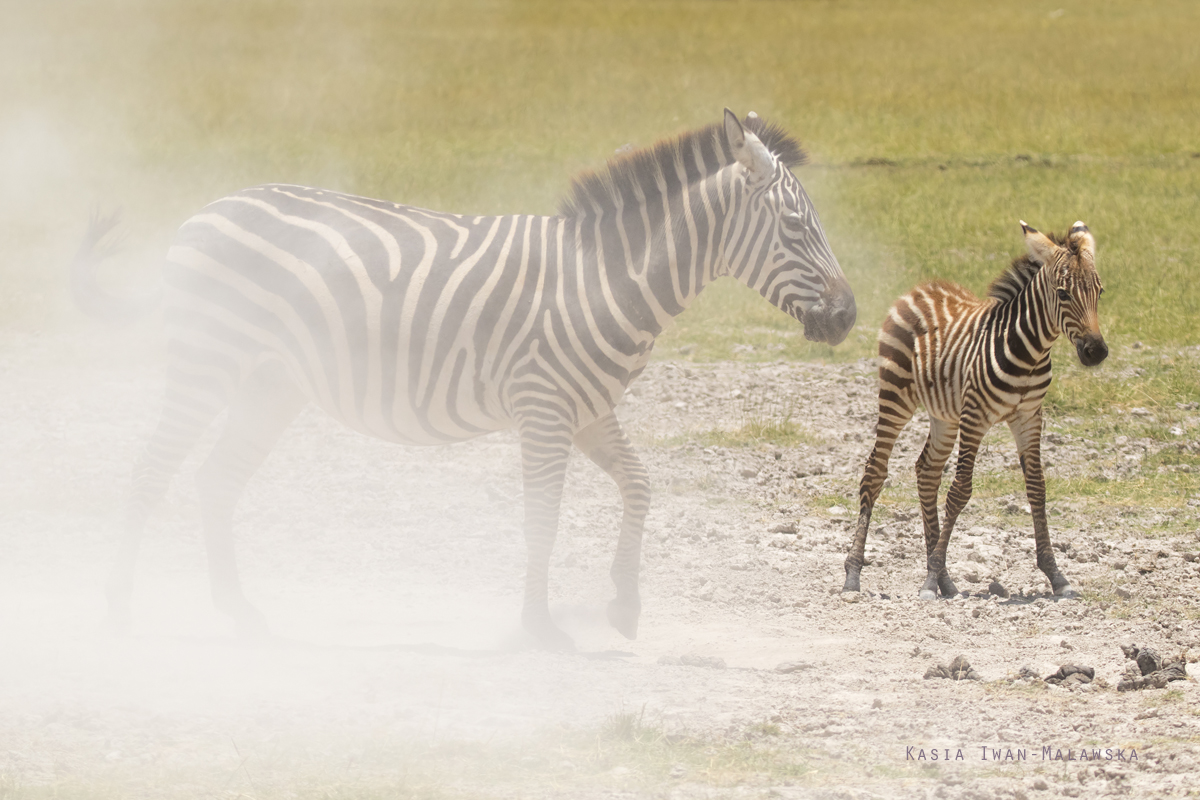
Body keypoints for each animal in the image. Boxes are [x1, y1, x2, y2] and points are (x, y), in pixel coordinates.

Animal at [75, 110, 859, 652]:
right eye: (796, 229)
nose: (850, 315)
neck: (605, 278)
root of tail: (207, 210)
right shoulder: (545, 408)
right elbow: (541, 519)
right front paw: (540, 630)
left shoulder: (588, 411)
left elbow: (640, 487)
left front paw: (623, 605)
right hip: (206, 365)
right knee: (150, 472)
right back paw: (117, 609)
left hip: (272, 387)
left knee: (216, 480)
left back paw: (239, 614)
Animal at [844, 219, 1104, 599]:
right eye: (1063, 294)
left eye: (1100, 292)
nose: (1097, 352)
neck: (1030, 352)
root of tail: (922, 287)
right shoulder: (975, 416)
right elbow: (960, 491)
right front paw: (929, 579)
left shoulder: (1029, 416)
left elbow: (1037, 488)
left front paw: (1056, 575)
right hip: (896, 395)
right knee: (875, 472)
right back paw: (853, 574)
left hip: (944, 414)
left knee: (927, 471)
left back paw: (946, 581)